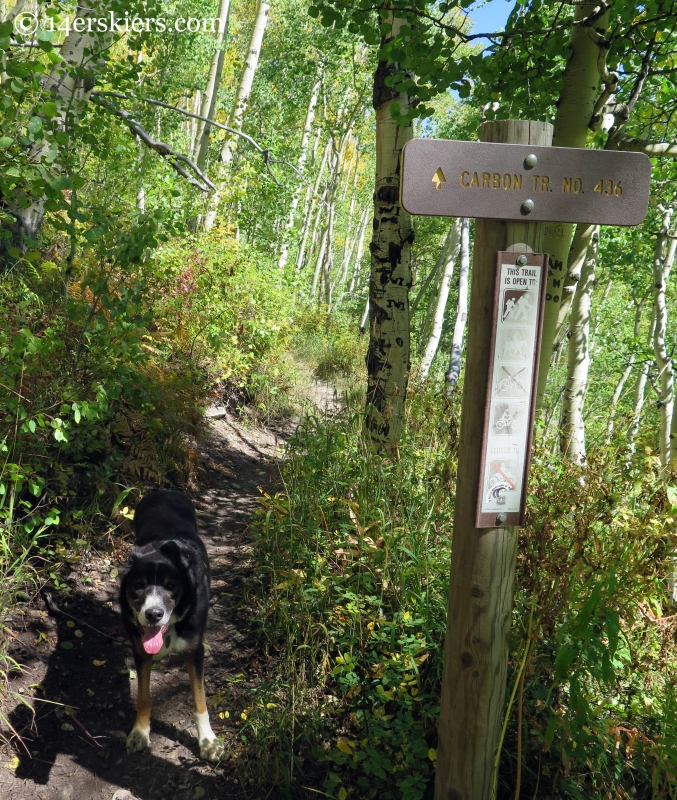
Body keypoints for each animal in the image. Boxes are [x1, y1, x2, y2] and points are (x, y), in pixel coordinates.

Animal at [117, 490, 222, 760]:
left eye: (171, 585)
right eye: (139, 585)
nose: (153, 614)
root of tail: (164, 490)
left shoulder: (194, 652)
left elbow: (199, 699)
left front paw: (208, 741)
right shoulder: (141, 651)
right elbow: (144, 697)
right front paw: (140, 732)